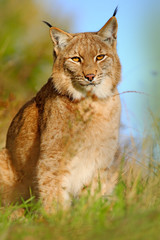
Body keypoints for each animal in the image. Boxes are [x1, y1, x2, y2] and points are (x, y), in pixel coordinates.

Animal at [0, 7, 120, 211]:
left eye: (100, 57)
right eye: (76, 59)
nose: (90, 76)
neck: (93, 101)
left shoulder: (101, 161)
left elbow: (92, 197)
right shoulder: (52, 158)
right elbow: (53, 192)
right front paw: (57, 218)